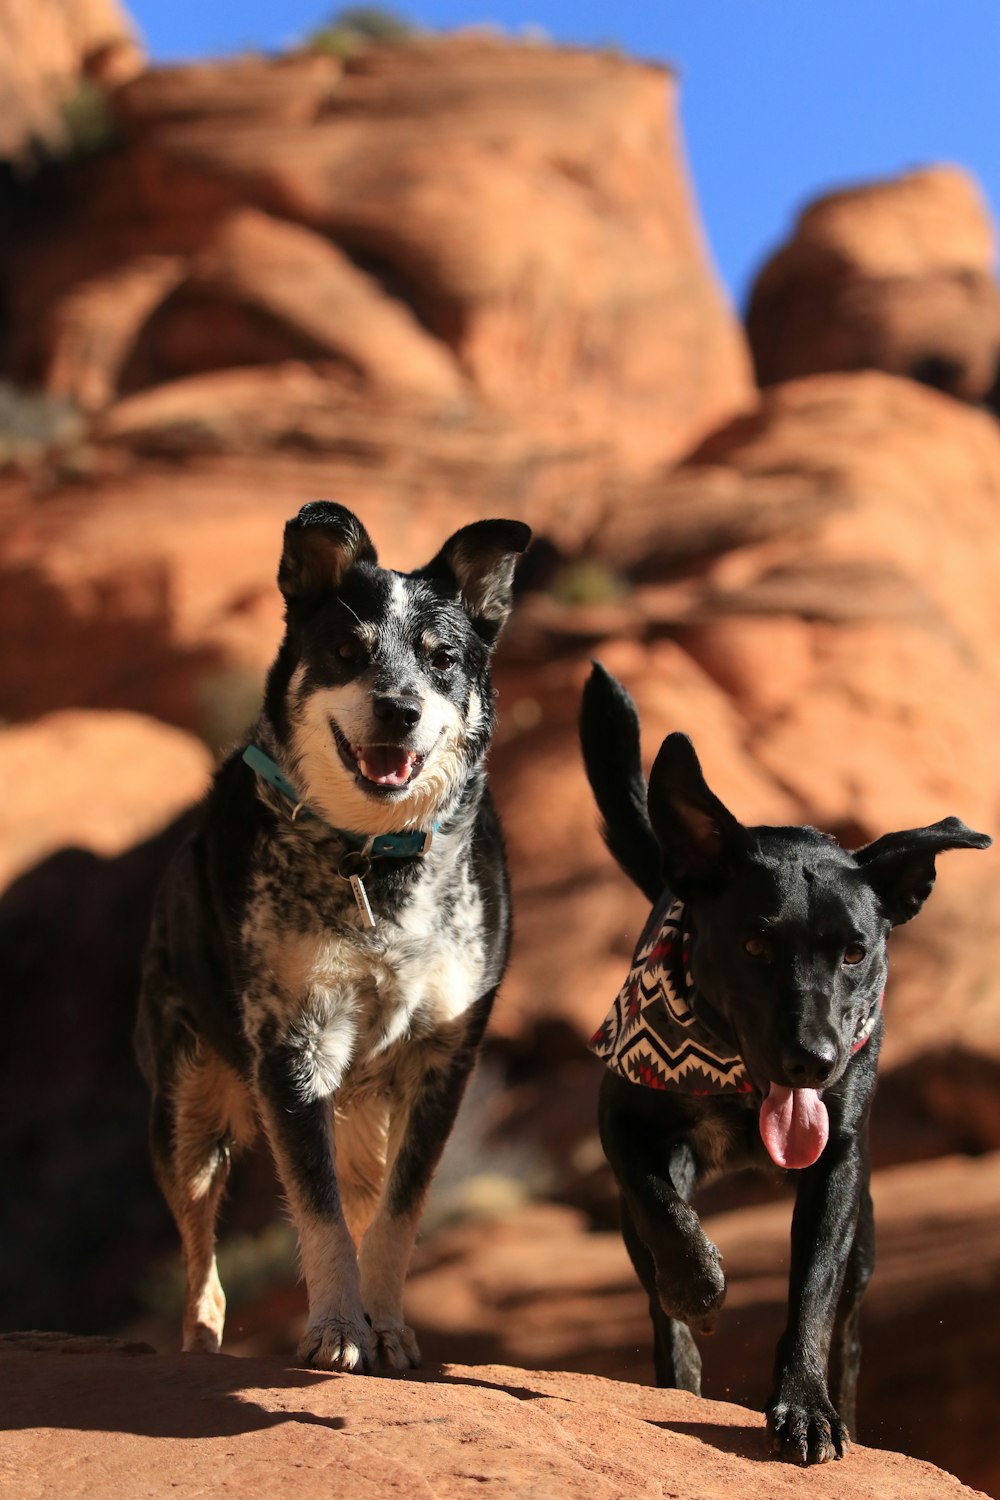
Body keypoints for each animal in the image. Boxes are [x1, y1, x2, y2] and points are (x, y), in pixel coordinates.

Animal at [137, 501, 536, 1374]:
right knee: (202, 1259)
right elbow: (316, 1213)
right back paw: (201, 1345)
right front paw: (334, 1329)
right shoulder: (293, 1044)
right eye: (348, 652)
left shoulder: (443, 1059)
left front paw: (384, 1326)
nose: (399, 709)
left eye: (443, 659)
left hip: (359, 1117)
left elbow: (397, 1213)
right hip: (186, 1108)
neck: (373, 856)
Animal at [578, 666, 995, 1464]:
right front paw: (698, 1286)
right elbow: (663, 1209)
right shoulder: (623, 1117)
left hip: (868, 1235)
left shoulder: (838, 1167)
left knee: (851, 1330)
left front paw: (805, 1407)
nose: (814, 1060)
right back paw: (680, 1354)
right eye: (754, 946)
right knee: (655, 1270)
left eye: (856, 952)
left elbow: (812, 1293)